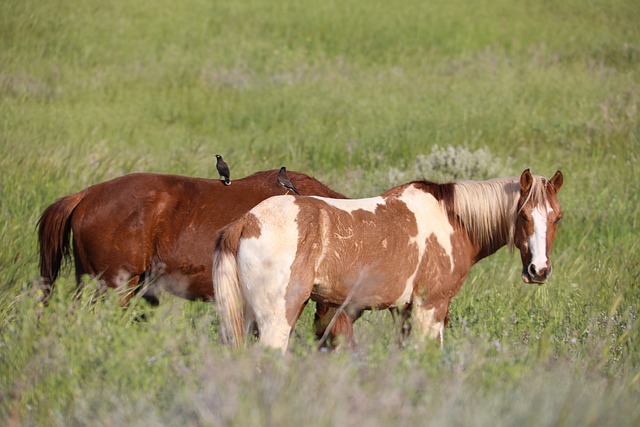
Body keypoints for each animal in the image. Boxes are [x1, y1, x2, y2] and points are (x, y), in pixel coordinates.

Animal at [212, 169, 564, 352]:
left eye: (557, 217)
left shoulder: (405, 311)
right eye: (523, 216)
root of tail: (247, 221)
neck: (450, 218)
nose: (539, 270)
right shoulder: (430, 307)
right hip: (277, 319)